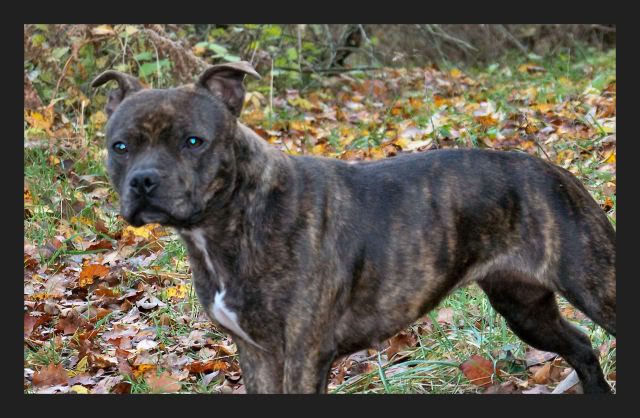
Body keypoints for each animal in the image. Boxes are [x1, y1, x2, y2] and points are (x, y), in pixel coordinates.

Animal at [90, 60, 616, 394]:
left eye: (193, 141)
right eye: (121, 146)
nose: (144, 181)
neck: (236, 218)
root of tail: (557, 171)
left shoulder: (302, 355)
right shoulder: (256, 355)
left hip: (596, 288)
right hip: (523, 307)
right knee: (581, 346)